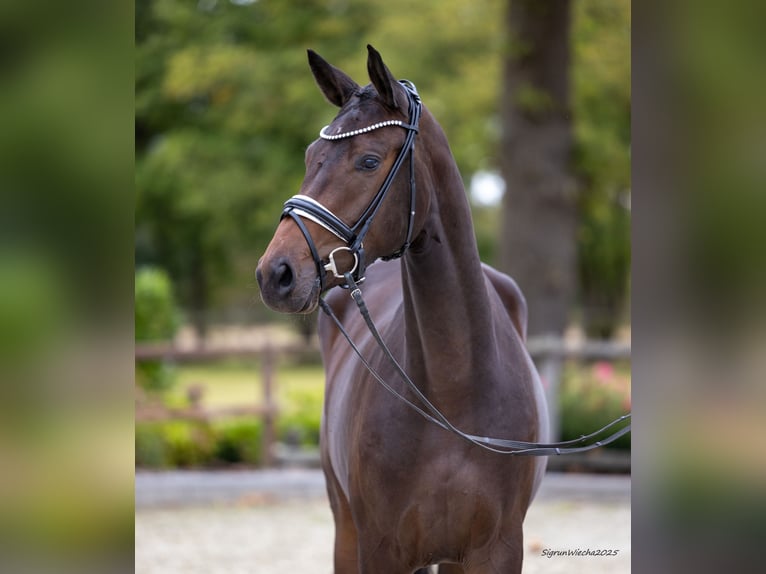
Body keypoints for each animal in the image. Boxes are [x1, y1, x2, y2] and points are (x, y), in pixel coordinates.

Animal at [256, 45, 549, 574]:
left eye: (369, 160)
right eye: (310, 156)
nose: (276, 273)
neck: (454, 393)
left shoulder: (496, 550)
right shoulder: (380, 547)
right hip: (345, 528)